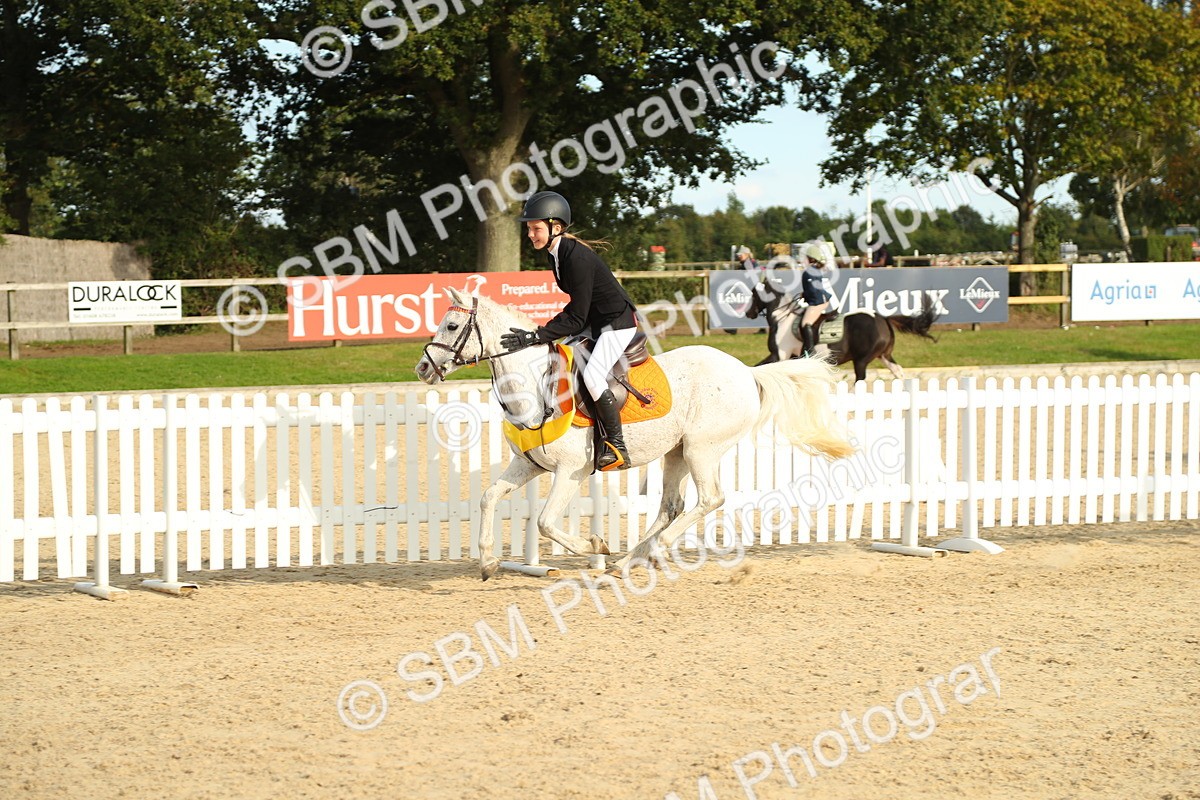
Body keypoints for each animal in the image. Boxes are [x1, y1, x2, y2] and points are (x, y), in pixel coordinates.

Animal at [415, 287, 854, 580]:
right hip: (676, 453)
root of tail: (746, 372)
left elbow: (544, 522)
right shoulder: (529, 465)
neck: (534, 382)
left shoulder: (570, 472)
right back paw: (630, 560)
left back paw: (650, 553)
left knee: (709, 499)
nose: (422, 369)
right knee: (671, 506)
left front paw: (595, 547)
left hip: (701, 449)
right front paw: (489, 562)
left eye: (451, 325)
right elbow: (489, 498)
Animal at [745, 275, 938, 382]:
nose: (749, 313)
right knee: (898, 373)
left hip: (861, 360)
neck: (782, 317)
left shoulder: (779, 355)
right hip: (885, 355)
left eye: (754, 293)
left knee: (860, 380)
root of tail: (882, 318)